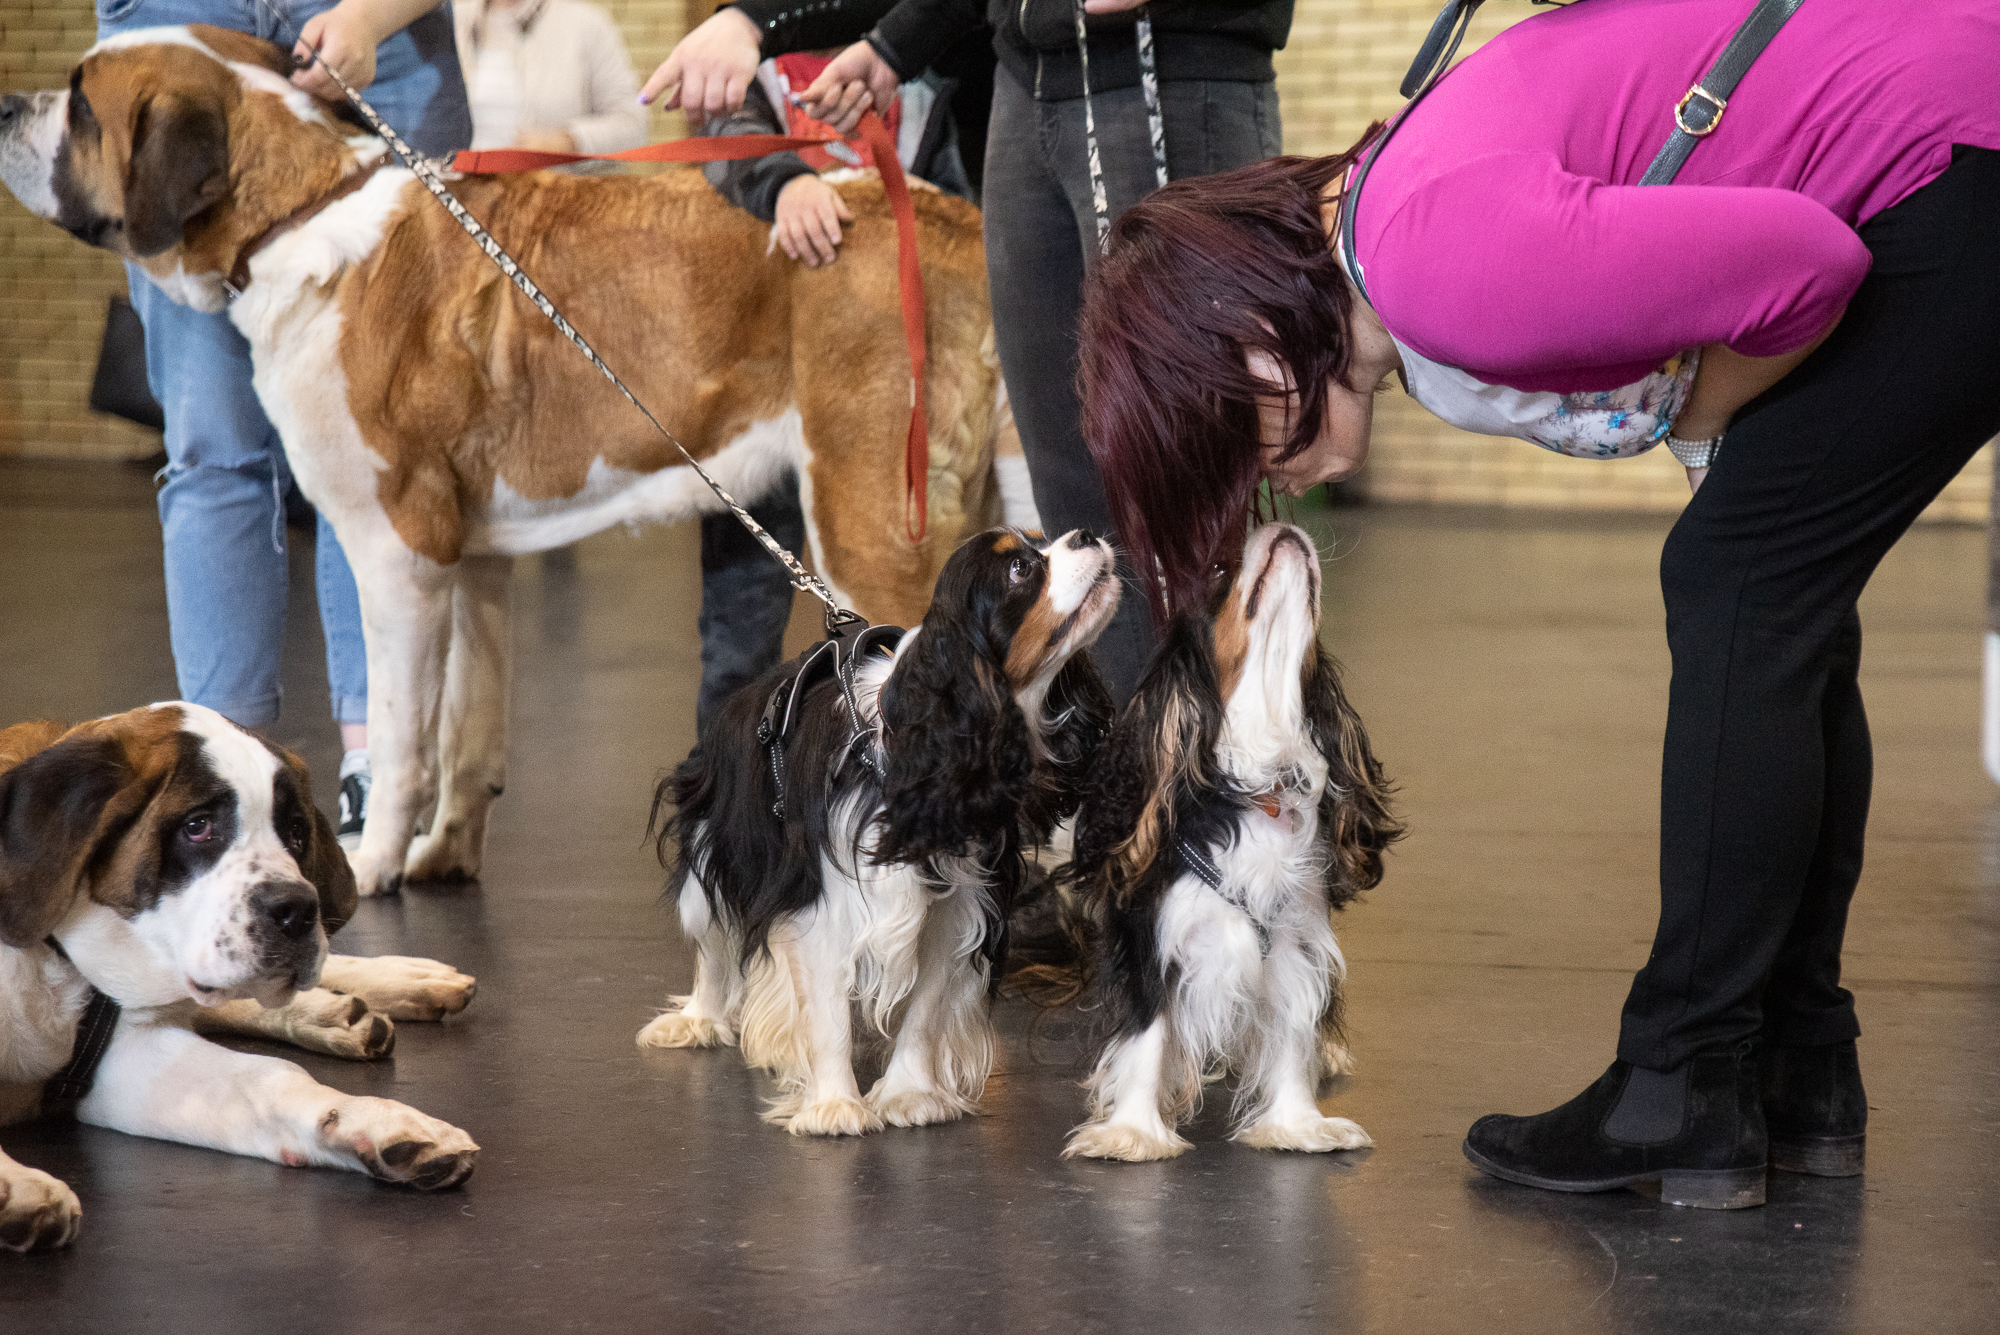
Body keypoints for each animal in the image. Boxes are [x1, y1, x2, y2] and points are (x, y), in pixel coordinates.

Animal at [0, 28, 1024, 895]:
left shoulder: (398, 552)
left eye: (82, 101)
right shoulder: (471, 560)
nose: (10, 102)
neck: (295, 214)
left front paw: (374, 864)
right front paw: (444, 853)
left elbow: (405, 734)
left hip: (868, 521)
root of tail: (951, 218)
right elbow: (468, 727)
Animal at [0, 703, 480, 1255]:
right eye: (198, 826)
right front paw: (15, 1185)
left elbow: (271, 1075)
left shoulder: (127, 1057)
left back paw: (373, 992)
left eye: (296, 832)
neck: (56, 956)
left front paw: (374, 1121)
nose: (299, 910)